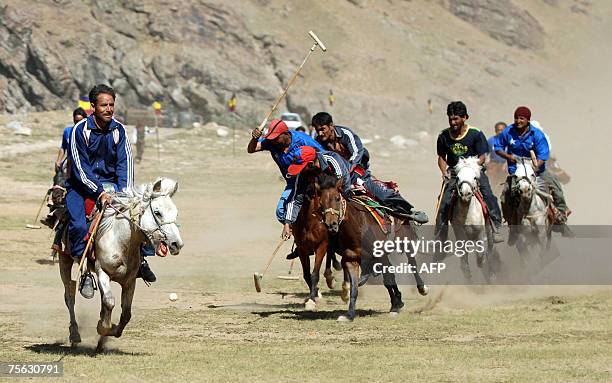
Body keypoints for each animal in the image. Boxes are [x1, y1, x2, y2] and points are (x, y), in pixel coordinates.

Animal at [59, 177, 184, 348]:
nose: (177, 244)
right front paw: (103, 327)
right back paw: (75, 334)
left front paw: (107, 334)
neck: (121, 241)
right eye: (158, 213)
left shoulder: (130, 281)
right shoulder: (102, 272)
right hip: (64, 259)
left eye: (176, 213)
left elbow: (126, 313)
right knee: (69, 295)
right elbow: (110, 302)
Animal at [318, 173, 428, 320]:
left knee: (411, 263)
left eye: (337, 198)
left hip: (406, 241)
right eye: (320, 202)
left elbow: (387, 278)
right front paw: (349, 315)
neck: (357, 229)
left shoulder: (379, 255)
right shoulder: (351, 260)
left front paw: (396, 305)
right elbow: (355, 287)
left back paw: (421, 289)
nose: (331, 224)